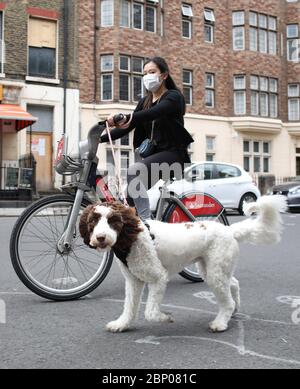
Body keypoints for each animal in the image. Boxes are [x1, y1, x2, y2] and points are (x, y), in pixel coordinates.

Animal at [79, 197, 286, 334]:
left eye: (113, 221)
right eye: (93, 221)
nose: (100, 237)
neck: (131, 238)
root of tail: (229, 230)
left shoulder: (158, 278)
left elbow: (150, 312)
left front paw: (165, 317)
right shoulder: (133, 280)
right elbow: (129, 306)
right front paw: (121, 324)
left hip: (215, 274)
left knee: (227, 300)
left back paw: (220, 322)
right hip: (212, 269)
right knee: (233, 284)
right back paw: (234, 309)